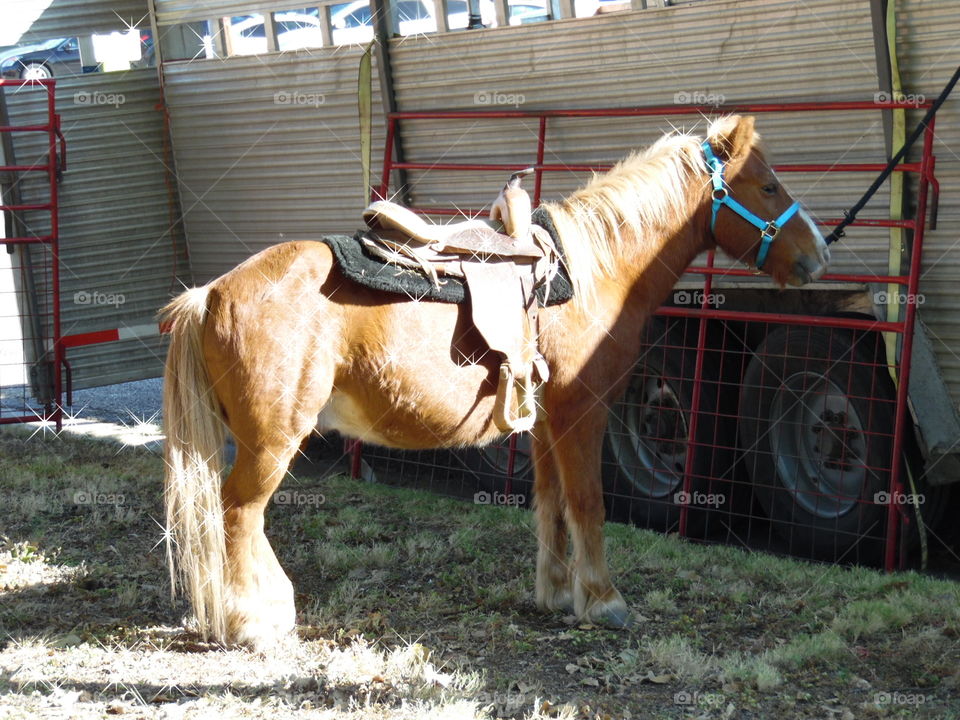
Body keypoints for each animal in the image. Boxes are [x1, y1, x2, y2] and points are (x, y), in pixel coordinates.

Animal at [161, 114, 829, 648]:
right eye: (768, 186)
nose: (818, 254)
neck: (589, 275)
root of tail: (211, 294)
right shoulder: (584, 412)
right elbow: (588, 502)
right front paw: (604, 600)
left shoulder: (547, 421)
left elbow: (552, 501)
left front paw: (556, 593)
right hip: (272, 442)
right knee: (240, 513)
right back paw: (251, 622)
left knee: (241, 518)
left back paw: (272, 607)